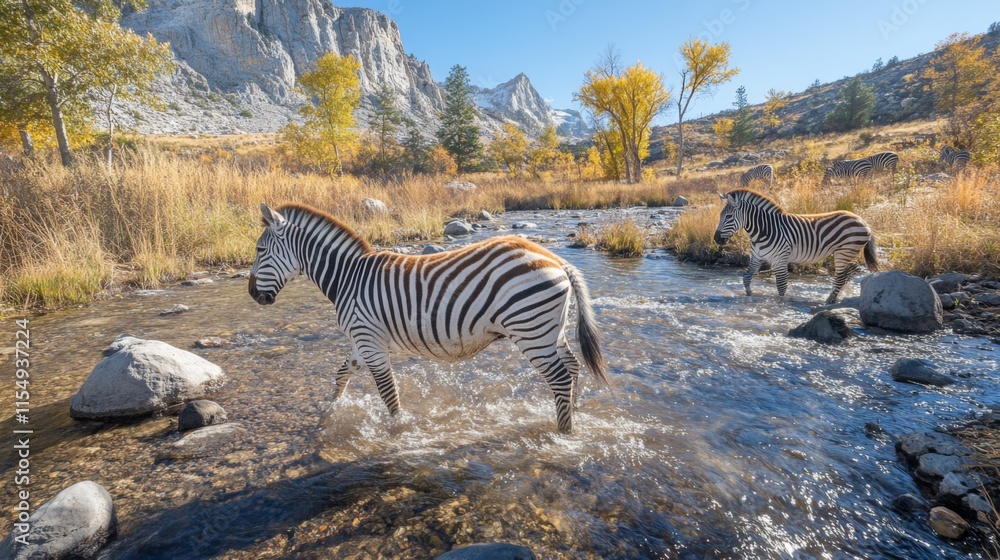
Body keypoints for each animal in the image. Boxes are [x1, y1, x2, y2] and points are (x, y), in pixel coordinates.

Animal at [248, 203, 609, 433]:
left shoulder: (371, 344)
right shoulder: (362, 343)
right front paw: (329, 413)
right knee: (572, 368)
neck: (347, 278)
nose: (253, 295)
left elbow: (389, 395)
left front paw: (398, 432)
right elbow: (340, 376)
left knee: (560, 377)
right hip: (550, 331)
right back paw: (574, 412)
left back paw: (562, 433)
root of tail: (556, 259)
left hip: (531, 331)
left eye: (260, 251)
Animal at [713, 189, 879, 304]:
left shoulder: (780, 259)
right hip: (846, 252)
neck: (765, 230)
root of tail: (863, 220)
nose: (716, 239)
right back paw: (838, 296)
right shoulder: (757, 256)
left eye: (728, 217)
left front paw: (781, 303)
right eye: (720, 216)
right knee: (850, 271)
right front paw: (749, 295)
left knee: (841, 276)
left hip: (844, 251)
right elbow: (746, 277)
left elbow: (781, 286)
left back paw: (829, 301)